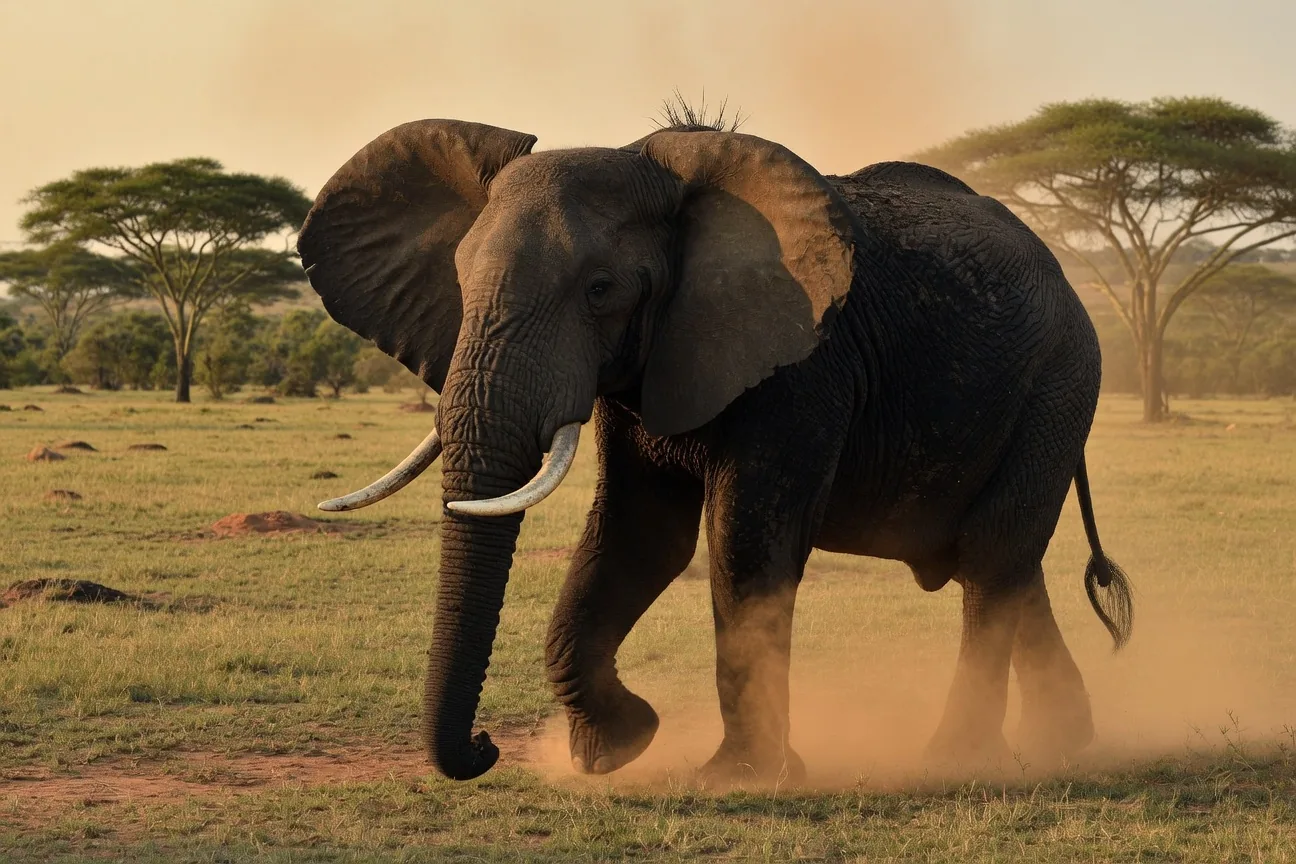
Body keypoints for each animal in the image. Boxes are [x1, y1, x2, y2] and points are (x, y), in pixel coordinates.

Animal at [296, 115, 1134, 783]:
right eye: (460, 280)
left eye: (601, 290)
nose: (484, 746)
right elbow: (636, 536)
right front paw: (617, 750)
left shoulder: (803, 369)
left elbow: (744, 546)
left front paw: (741, 778)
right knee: (1005, 564)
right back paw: (1062, 744)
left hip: (1061, 384)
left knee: (992, 560)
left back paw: (957, 761)